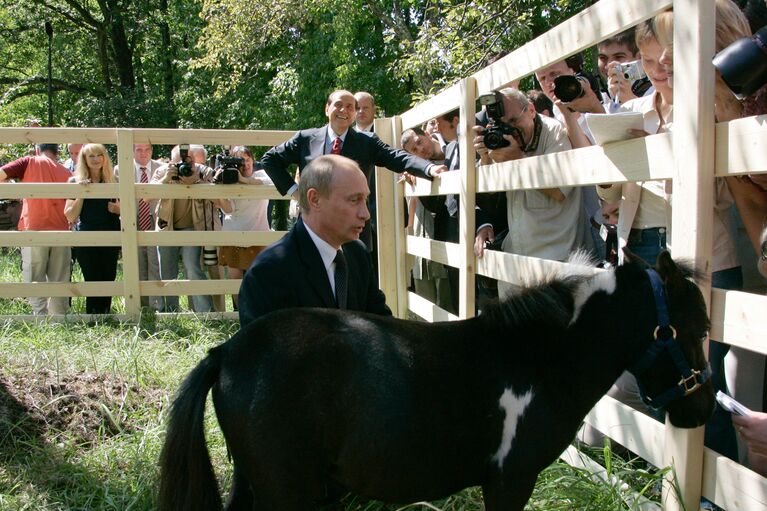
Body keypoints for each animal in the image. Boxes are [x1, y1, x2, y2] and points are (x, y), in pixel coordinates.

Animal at [159, 253, 716, 511]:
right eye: (697, 328)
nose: (703, 409)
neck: (537, 358)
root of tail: (227, 353)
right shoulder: (511, 480)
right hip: (287, 492)